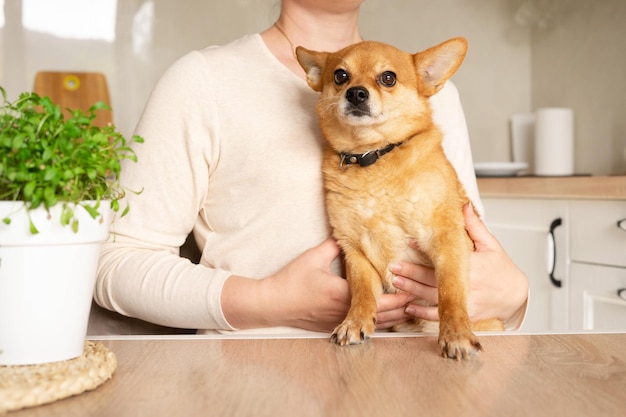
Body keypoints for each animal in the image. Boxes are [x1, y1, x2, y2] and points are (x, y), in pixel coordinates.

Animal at [296, 39, 502, 358]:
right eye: (340, 76)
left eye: (388, 78)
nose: (356, 92)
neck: (373, 156)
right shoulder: (355, 251)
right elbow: (361, 292)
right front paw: (355, 322)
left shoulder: (446, 238)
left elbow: (450, 290)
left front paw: (456, 333)